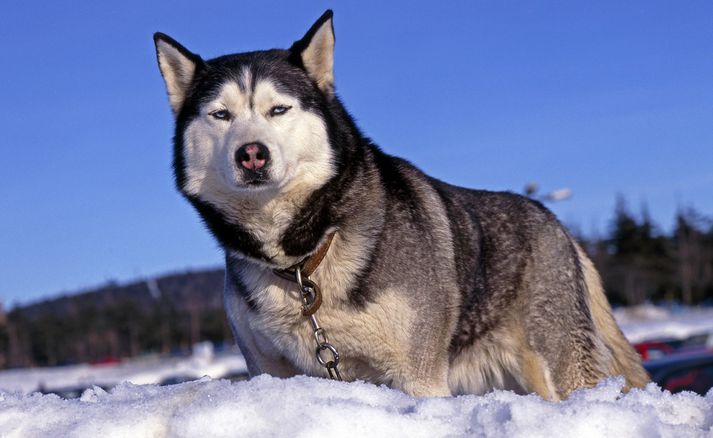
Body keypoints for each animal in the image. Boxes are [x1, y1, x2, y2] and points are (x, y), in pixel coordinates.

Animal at [153, 11, 648, 400]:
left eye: (279, 109)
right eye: (220, 115)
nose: (251, 153)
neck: (303, 261)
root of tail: (556, 223)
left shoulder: (418, 374)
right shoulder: (271, 371)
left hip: (561, 362)